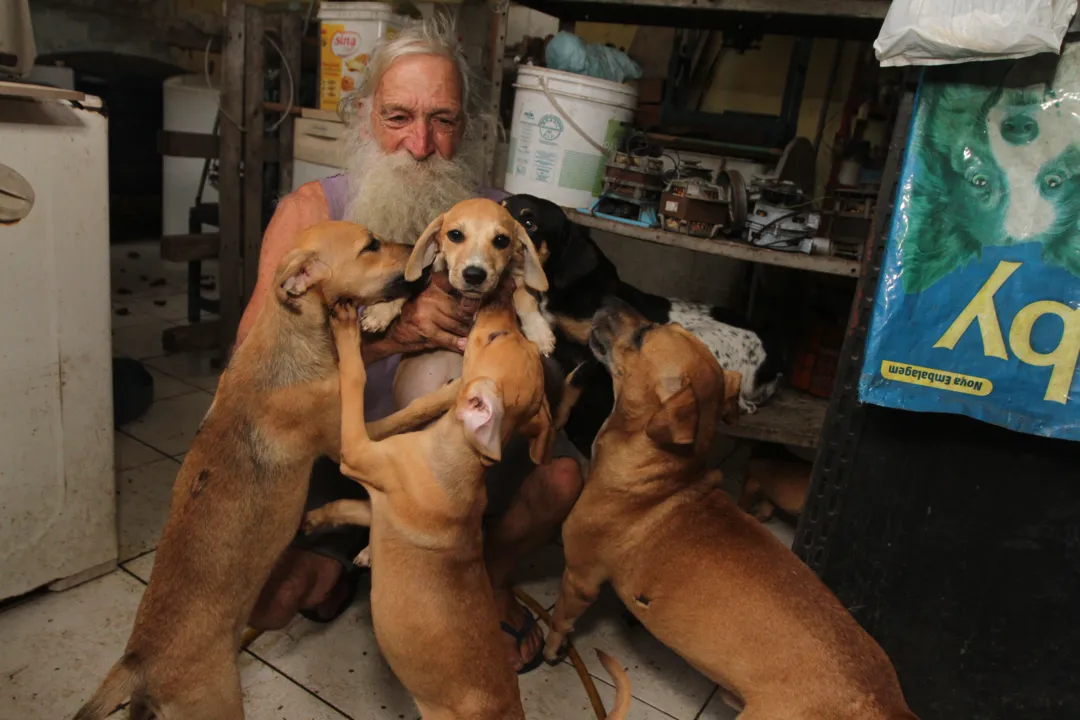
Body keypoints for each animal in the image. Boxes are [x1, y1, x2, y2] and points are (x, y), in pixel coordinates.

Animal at [73, 221, 462, 720]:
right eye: (370, 245)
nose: (423, 247)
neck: (290, 335)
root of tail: (136, 662)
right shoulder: (351, 440)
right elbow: (414, 409)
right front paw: (455, 390)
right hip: (219, 704)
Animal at [300, 297, 630, 720]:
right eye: (506, 333)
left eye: (495, 336)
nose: (499, 300)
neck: (464, 455)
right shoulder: (381, 507)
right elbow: (346, 505)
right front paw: (314, 520)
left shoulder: (357, 450)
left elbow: (355, 380)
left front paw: (347, 329)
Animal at [548, 297, 920, 720]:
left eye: (645, 334)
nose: (609, 299)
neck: (662, 476)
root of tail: (884, 704)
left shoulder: (579, 578)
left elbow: (560, 619)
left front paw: (551, 648)